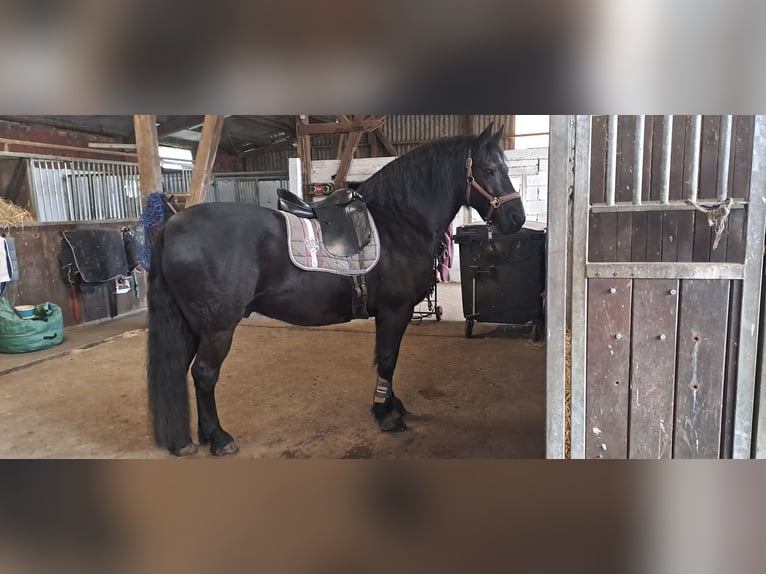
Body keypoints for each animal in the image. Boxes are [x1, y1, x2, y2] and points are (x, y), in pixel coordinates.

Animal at [147, 123, 526, 456]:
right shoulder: (395, 311)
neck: (398, 222)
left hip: (193, 327)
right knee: (204, 374)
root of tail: (172, 225)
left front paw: (391, 406)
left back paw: (195, 438)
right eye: (490, 169)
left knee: (186, 372)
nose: (516, 219)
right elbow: (388, 359)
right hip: (218, 328)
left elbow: (386, 360)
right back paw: (220, 438)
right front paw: (386, 415)